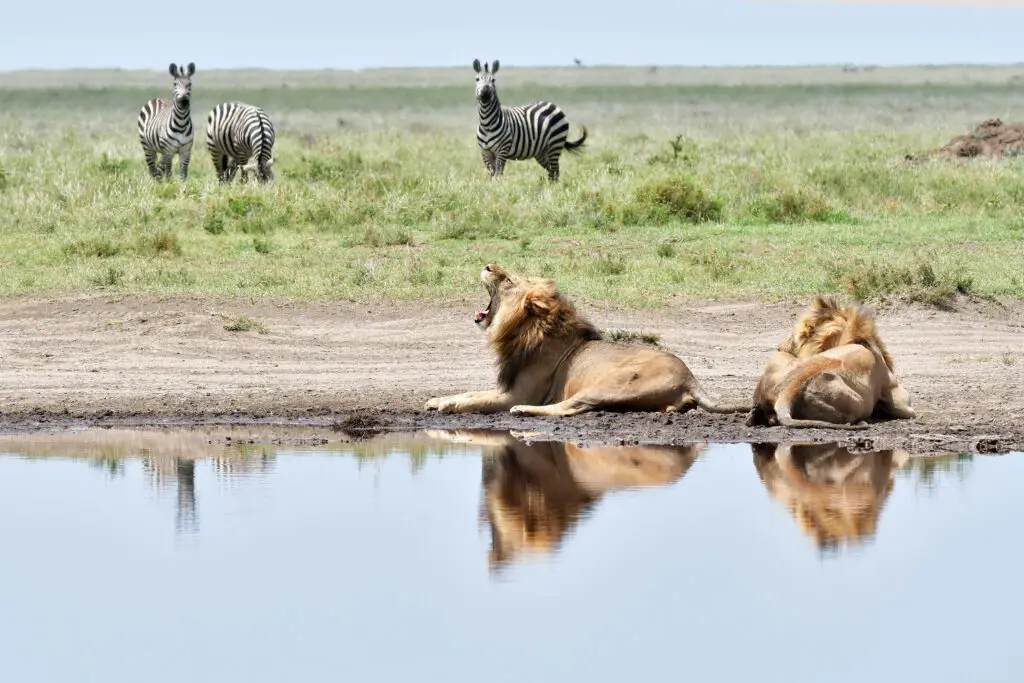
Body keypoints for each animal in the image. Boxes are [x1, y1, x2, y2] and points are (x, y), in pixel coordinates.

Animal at [424, 264, 749, 416]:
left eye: (508, 280)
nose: (488, 265)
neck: (524, 329)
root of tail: (690, 376)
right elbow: (470, 392)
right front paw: (436, 399)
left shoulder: (515, 394)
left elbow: (476, 400)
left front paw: (449, 405)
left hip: (609, 384)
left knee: (571, 407)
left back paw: (525, 413)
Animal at [746, 295, 915, 430]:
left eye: (793, 337)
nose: (779, 347)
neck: (858, 341)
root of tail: (789, 391)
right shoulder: (900, 400)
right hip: (857, 402)